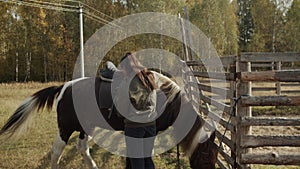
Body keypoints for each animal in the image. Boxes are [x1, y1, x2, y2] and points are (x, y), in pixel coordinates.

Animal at [0, 69, 217, 168]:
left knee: (82, 148)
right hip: (65, 128)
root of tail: (64, 87)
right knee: (57, 150)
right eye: (207, 156)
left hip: (85, 127)